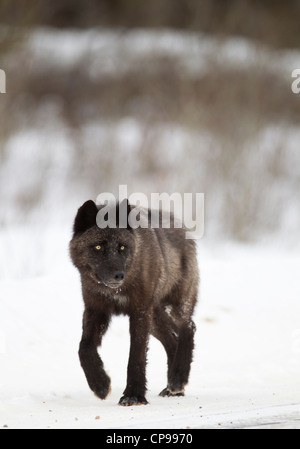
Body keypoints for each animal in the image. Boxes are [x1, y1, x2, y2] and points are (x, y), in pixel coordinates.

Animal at [69, 198, 199, 404]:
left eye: (122, 247)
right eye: (98, 247)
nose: (118, 275)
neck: (118, 289)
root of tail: (182, 227)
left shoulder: (139, 312)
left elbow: (136, 355)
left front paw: (133, 395)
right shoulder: (95, 310)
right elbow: (84, 348)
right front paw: (100, 384)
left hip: (171, 309)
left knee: (189, 327)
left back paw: (178, 379)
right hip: (155, 319)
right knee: (173, 340)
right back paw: (172, 387)